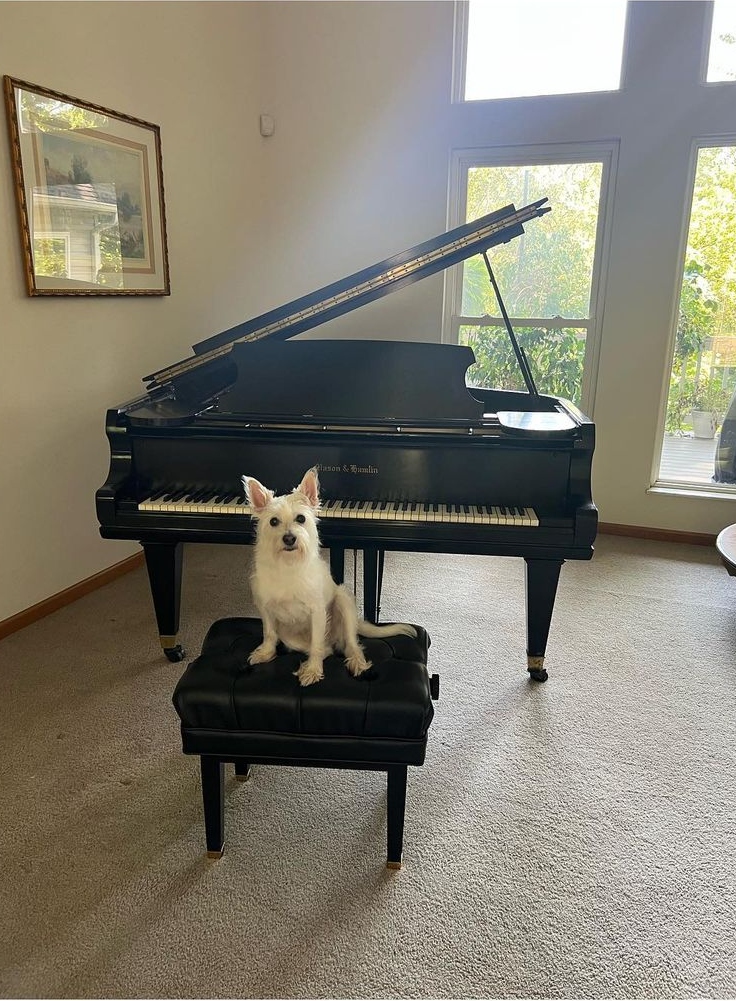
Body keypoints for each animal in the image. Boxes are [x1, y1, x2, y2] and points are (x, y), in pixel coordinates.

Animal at [240, 464, 416, 684]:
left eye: (300, 518)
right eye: (273, 521)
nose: (289, 538)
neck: (288, 564)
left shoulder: (317, 611)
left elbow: (316, 643)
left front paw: (313, 670)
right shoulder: (266, 608)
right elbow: (269, 634)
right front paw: (266, 653)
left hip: (344, 601)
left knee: (350, 645)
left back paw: (356, 663)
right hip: (290, 636)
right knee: (326, 649)